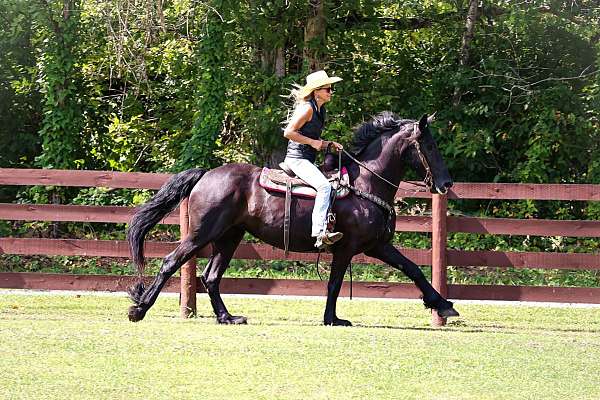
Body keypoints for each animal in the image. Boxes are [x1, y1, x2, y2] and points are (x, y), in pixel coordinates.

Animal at [127, 110, 460, 324]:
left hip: (229, 237)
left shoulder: (376, 245)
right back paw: (139, 309)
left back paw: (227, 317)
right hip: (201, 234)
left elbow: (412, 269)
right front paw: (332, 319)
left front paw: (443, 305)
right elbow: (335, 283)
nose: (446, 183)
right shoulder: (348, 247)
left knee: (211, 277)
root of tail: (206, 174)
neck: (365, 184)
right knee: (171, 262)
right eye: (429, 145)